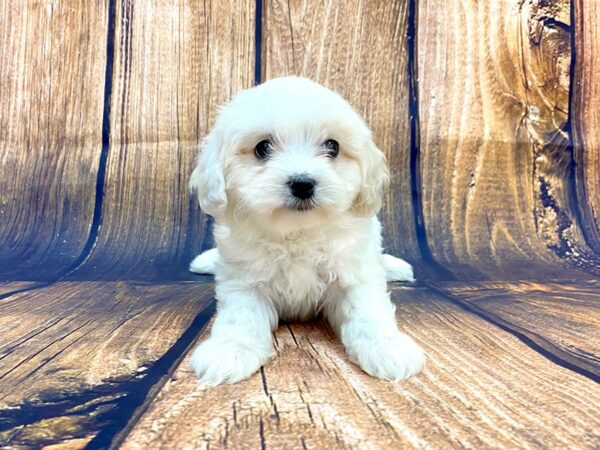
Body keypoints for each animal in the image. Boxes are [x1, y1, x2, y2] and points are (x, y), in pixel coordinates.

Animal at [190, 76, 424, 384]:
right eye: (262, 148)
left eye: (332, 146)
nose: (302, 184)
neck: (297, 233)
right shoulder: (244, 280)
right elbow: (241, 316)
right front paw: (229, 351)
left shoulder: (354, 271)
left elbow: (367, 308)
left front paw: (388, 348)